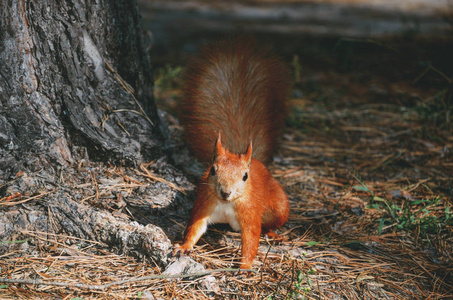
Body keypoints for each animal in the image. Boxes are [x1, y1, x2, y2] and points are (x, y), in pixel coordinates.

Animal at [177, 38, 290, 270]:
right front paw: (184, 246)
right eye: (212, 170)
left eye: (245, 176)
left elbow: (251, 238)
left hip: (279, 206)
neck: (227, 204)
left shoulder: (249, 213)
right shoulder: (204, 204)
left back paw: (273, 234)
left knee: (269, 224)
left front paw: (245, 266)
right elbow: (195, 228)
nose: (225, 192)